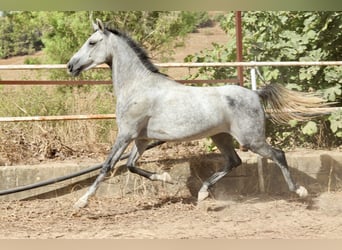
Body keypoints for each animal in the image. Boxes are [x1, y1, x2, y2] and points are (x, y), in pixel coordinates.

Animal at [67, 19, 326, 209]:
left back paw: (300, 192)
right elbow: (131, 165)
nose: (70, 66)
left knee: (278, 154)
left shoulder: (126, 133)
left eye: (92, 42)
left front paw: (81, 202)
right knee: (234, 161)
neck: (138, 86)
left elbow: (107, 166)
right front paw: (166, 178)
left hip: (251, 140)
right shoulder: (141, 138)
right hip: (221, 136)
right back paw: (202, 193)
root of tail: (255, 93)